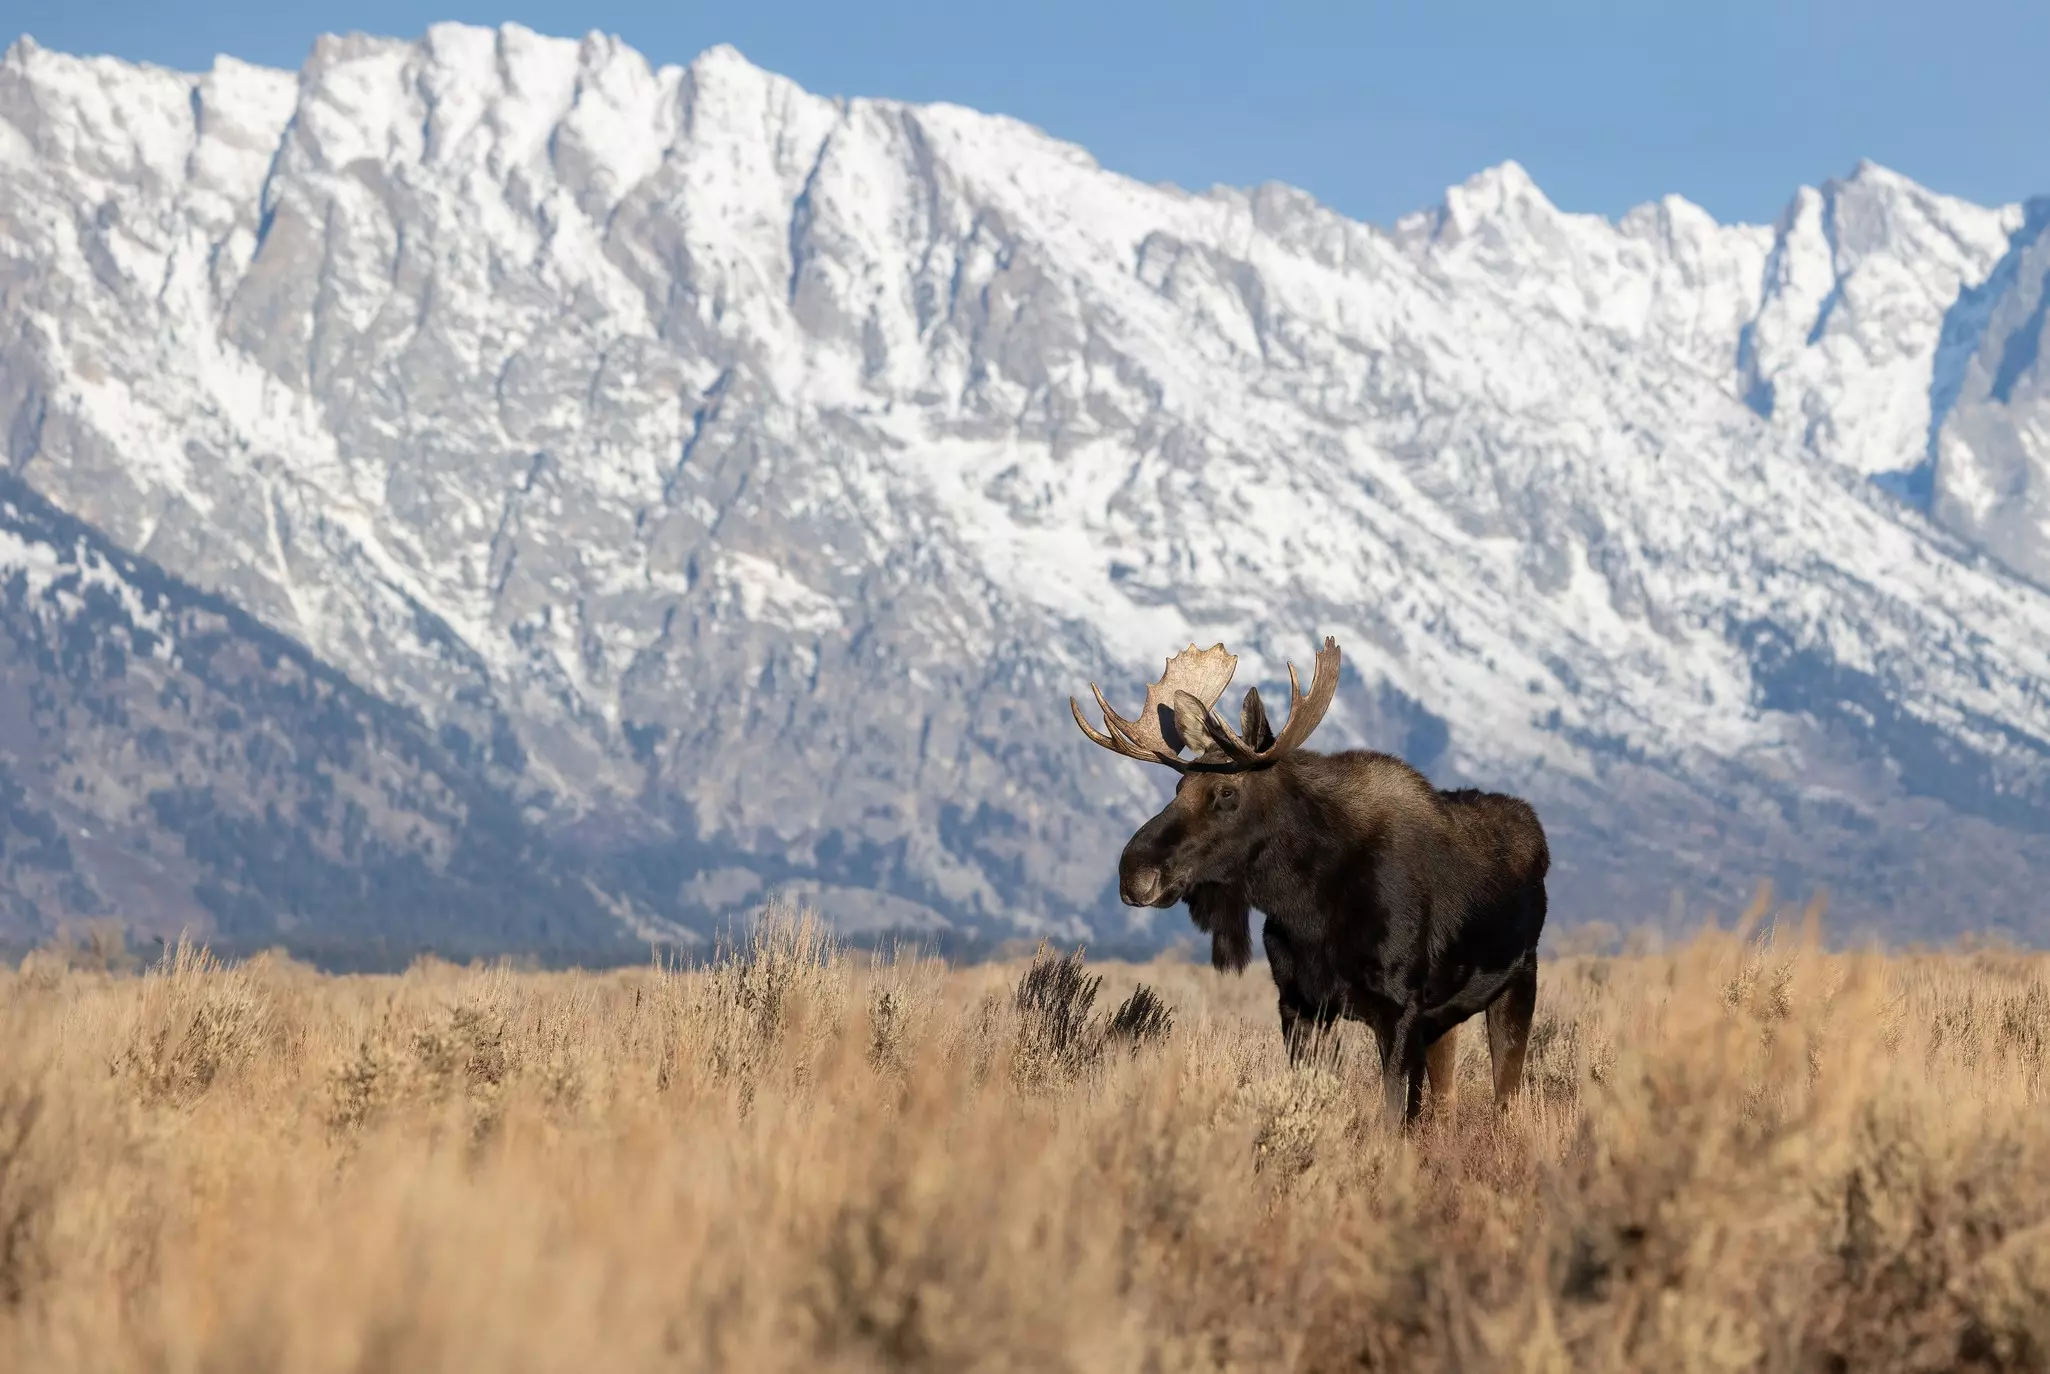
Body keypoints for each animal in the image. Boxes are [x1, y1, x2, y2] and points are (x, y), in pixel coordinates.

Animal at [1071, 636, 1548, 1127]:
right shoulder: (1298, 1002)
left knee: (1506, 1093)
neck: (1306, 905)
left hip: (1518, 978)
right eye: (1178, 788)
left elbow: (1395, 1118)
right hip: (1444, 1016)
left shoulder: (1401, 1006)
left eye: (1226, 792)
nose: (1134, 873)